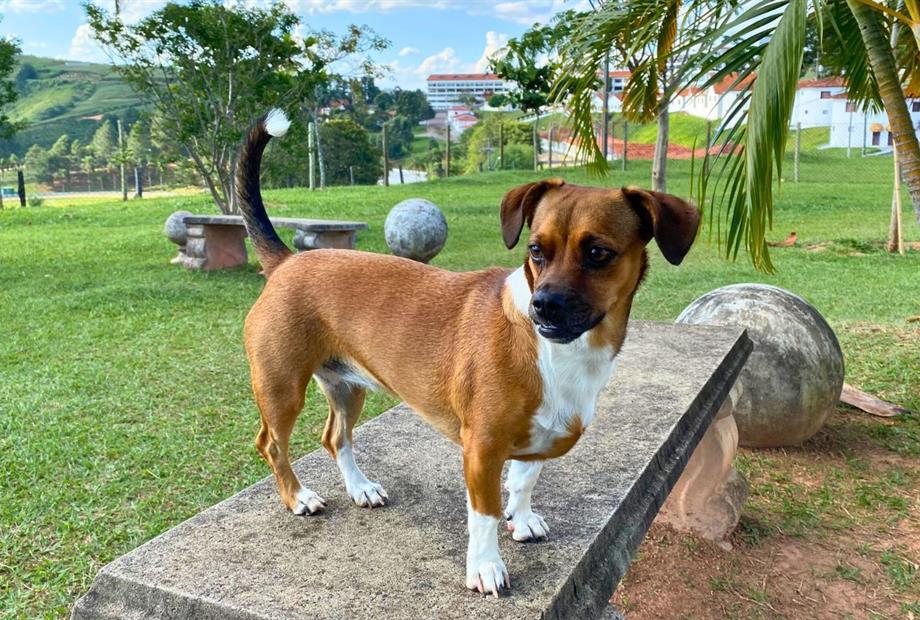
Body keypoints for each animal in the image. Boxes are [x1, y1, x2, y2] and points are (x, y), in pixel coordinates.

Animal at [237, 109, 700, 597]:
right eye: (536, 250)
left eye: (598, 253)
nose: (543, 305)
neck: (558, 352)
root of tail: (287, 261)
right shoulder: (481, 450)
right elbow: (485, 514)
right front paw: (485, 565)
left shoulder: (536, 437)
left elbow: (524, 479)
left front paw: (522, 518)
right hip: (282, 387)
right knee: (271, 443)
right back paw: (298, 497)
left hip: (347, 387)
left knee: (335, 438)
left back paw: (360, 487)